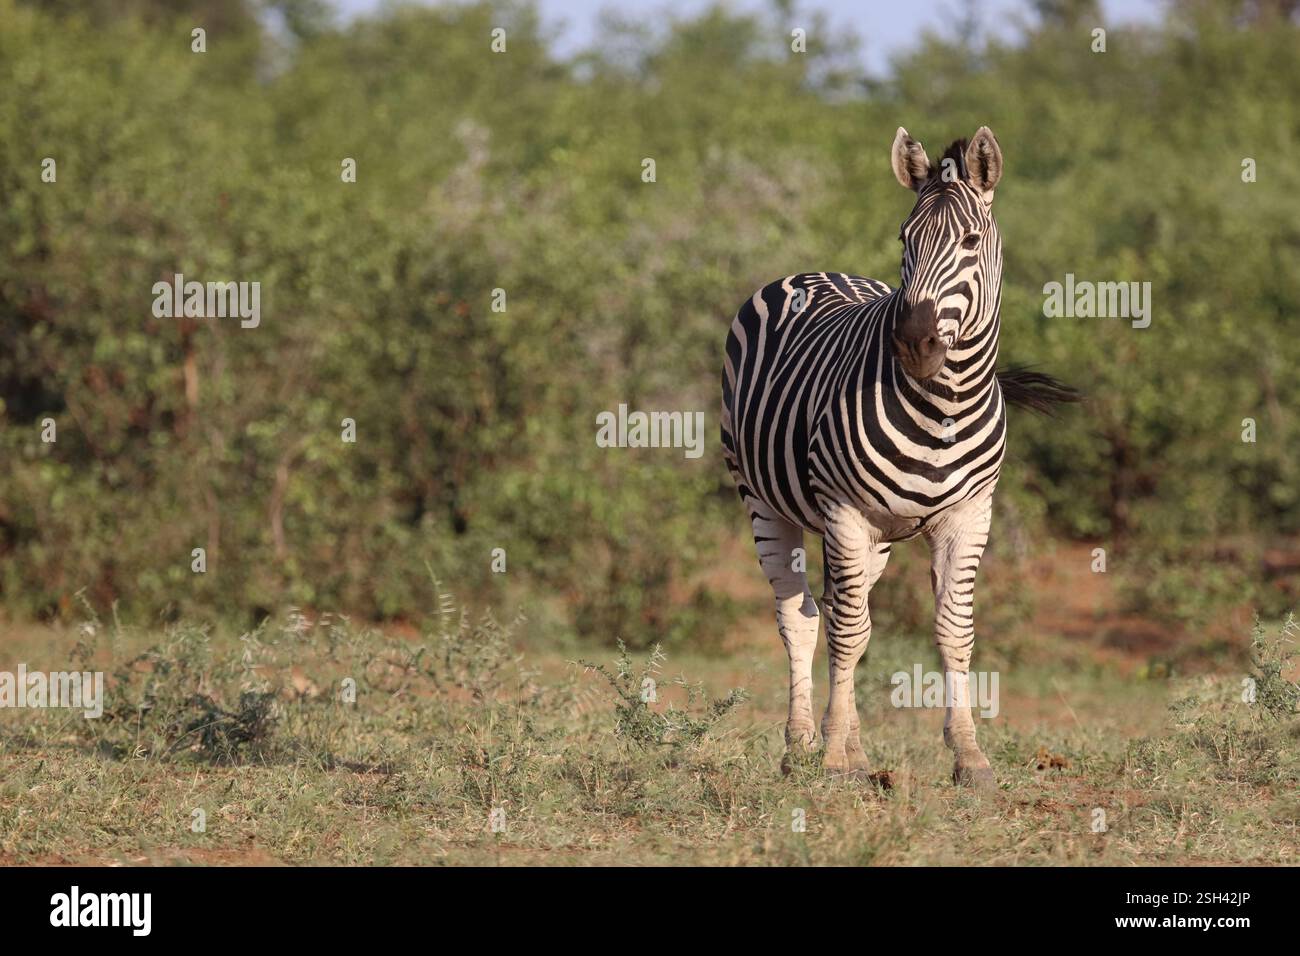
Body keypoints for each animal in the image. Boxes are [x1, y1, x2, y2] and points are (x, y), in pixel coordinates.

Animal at [720, 126, 1077, 789]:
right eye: (904, 239)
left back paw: (857, 752)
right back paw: (801, 747)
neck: (943, 404)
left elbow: (952, 630)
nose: (913, 343)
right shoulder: (844, 511)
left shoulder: (969, 516)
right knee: (804, 617)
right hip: (765, 501)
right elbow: (845, 631)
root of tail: (815, 271)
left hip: (878, 536)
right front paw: (831, 758)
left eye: (970, 241)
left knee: (845, 612)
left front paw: (969, 757)